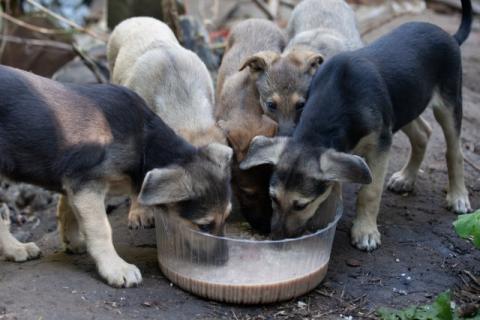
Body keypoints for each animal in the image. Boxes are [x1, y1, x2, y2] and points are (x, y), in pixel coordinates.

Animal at [0, 65, 232, 288]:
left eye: (227, 217)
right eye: (203, 226)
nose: (223, 262)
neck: (145, 144)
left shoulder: (73, 180)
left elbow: (67, 210)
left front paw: (73, 241)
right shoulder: (86, 184)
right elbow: (101, 229)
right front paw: (115, 268)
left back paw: (15, 249)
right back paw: (16, 248)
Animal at [242, 0, 474, 250]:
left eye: (301, 205)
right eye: (273, 198)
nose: (276, 239)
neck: (338, 99)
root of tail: (449, 36)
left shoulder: (381, 144)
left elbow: (370, 192)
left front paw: (365, 232)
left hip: (448, 103)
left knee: (455, 150)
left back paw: (458, 196)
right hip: (405, 105)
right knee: (423, 132)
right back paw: (406, 178)